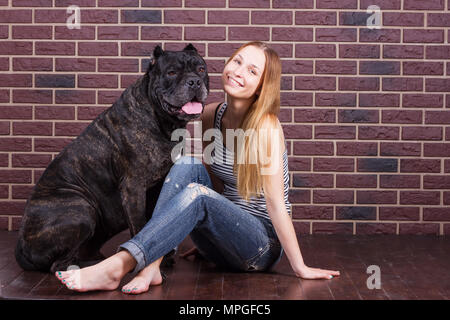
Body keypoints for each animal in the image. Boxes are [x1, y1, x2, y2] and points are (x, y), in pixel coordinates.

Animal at [14, 43, 209, 272]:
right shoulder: (134, 187)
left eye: (201, 70)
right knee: (58, 264)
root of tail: (21, 246)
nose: (194, 81)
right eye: (171, 73)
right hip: (81, 210)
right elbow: (140, 224)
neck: (162, 120)